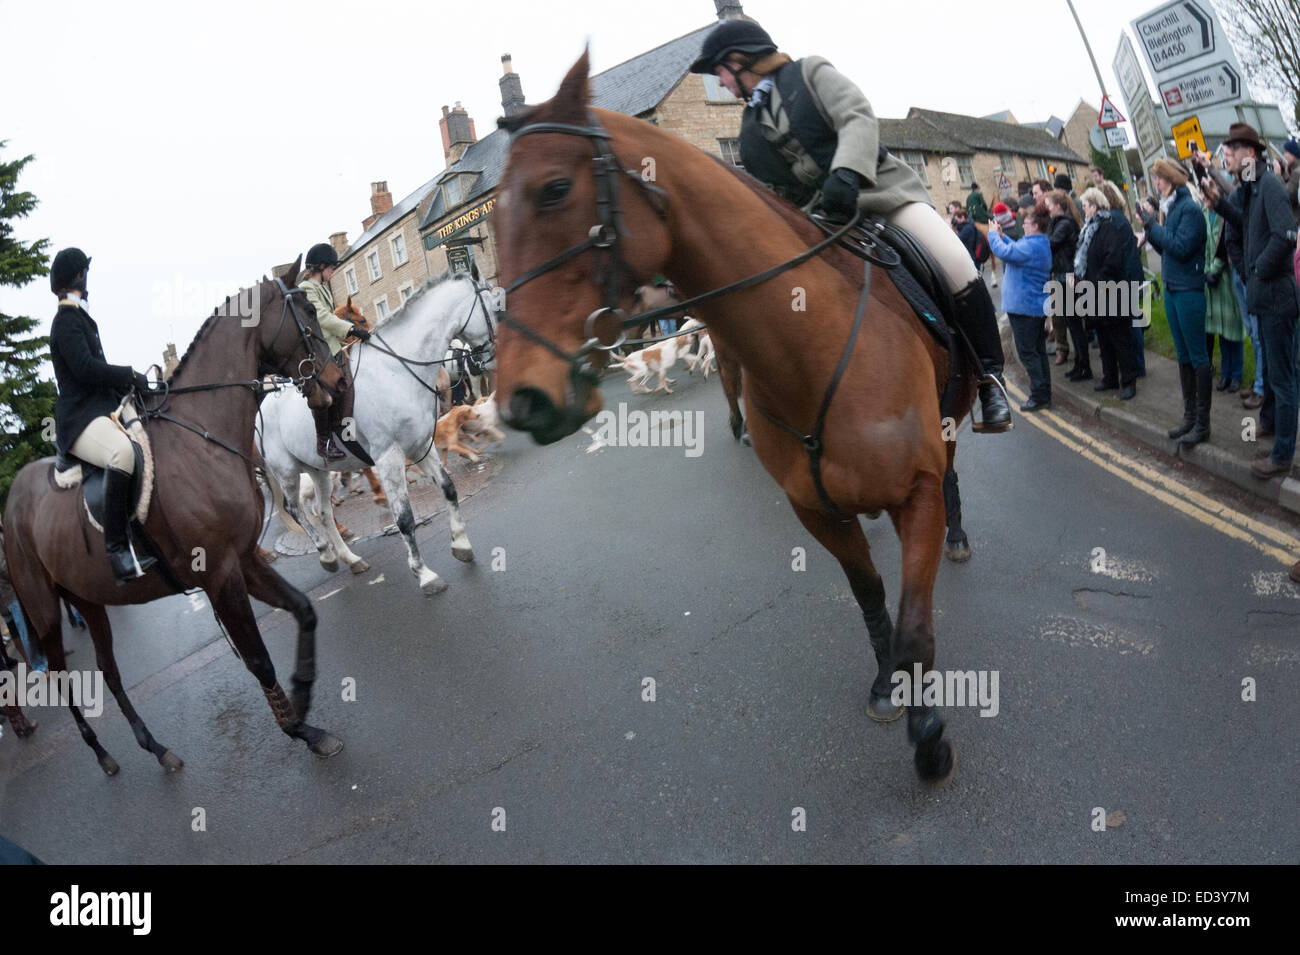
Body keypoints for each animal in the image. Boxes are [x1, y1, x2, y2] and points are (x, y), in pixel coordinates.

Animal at [2, 255, 345, 779]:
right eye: (308, 311)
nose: (336, 381)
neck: (201, 434)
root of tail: (13, 499)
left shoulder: (244, 559)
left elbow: (304, 610)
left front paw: (304, 699)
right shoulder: (220, 573)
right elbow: (257, 660)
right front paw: (300, 729)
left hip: (88, 597)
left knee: (109, 672)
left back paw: (156, 747)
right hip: (42, 609)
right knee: (61, 677)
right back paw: (101, 754)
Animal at [493, 54, 977, 784]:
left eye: (553, 188)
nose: (521, 399)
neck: (812, 348)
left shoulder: (914, 495)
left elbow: (917, 629)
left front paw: (930, 741)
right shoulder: (817, 511)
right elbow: (871, 598)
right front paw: (886, 686)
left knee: (951, 472)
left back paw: (960, 534)